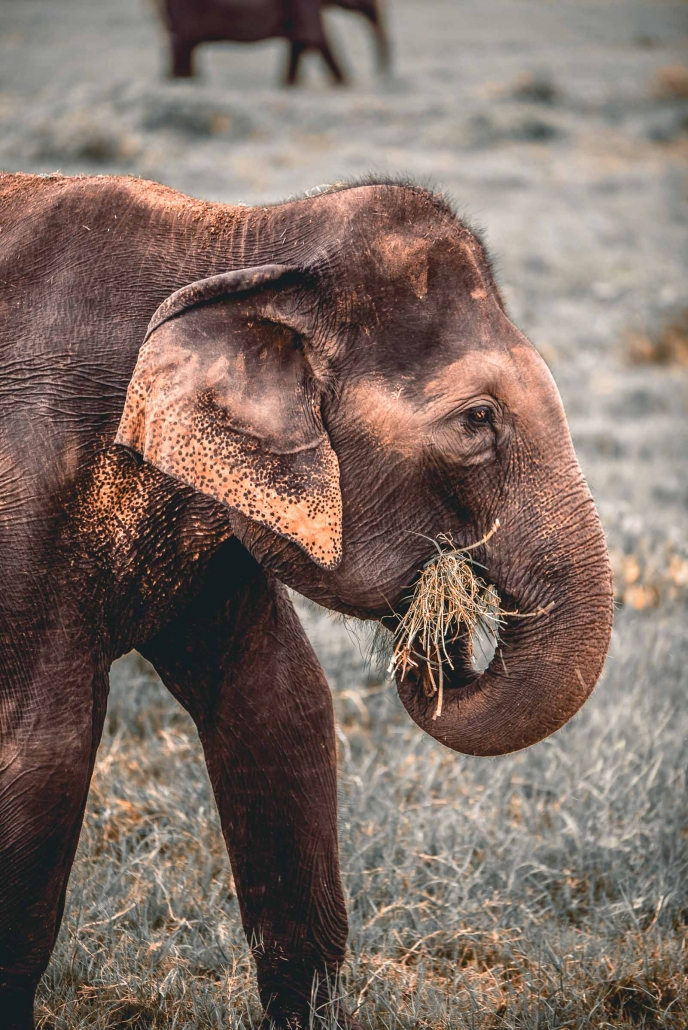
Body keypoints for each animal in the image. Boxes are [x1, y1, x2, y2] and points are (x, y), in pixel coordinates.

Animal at [0, 173, 613, 1025]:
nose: (444, 639)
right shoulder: (24, 503)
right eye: (478, 419)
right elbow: (44, 752)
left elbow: (278, 706)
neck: (243, 239)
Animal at [157, 0, 389, 84]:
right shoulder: (306, 4)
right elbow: (318, 39)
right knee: (182, 48)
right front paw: (344, 84)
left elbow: (300, 45)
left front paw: (289, 85)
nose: (378, 73)